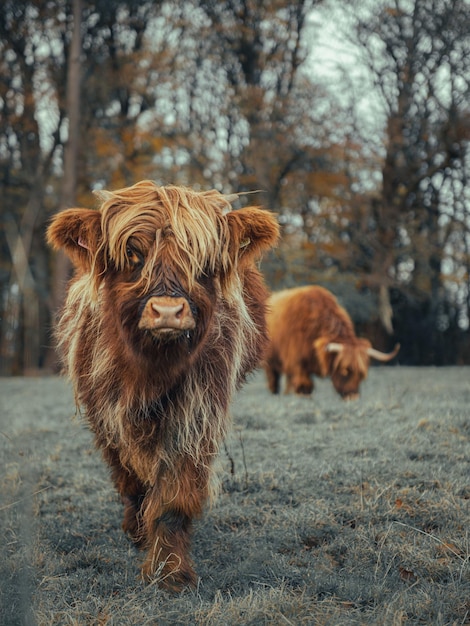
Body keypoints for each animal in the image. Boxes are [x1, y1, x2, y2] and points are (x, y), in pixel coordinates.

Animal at [46, 178, 280, 588]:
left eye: (200, 259)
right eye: (133, 254)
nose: (168, 312)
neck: (149, 373)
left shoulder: (197, 412)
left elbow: (174, 494)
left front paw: (170, 571)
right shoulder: (105, 415)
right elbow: (129, 477)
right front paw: (140, 534)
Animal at [262, 284, 398, 400]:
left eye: (361, 374)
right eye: (345, 370)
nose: (353, 397)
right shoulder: (297, 362)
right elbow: (304, 385)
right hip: (271, 361)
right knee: (273, 378)